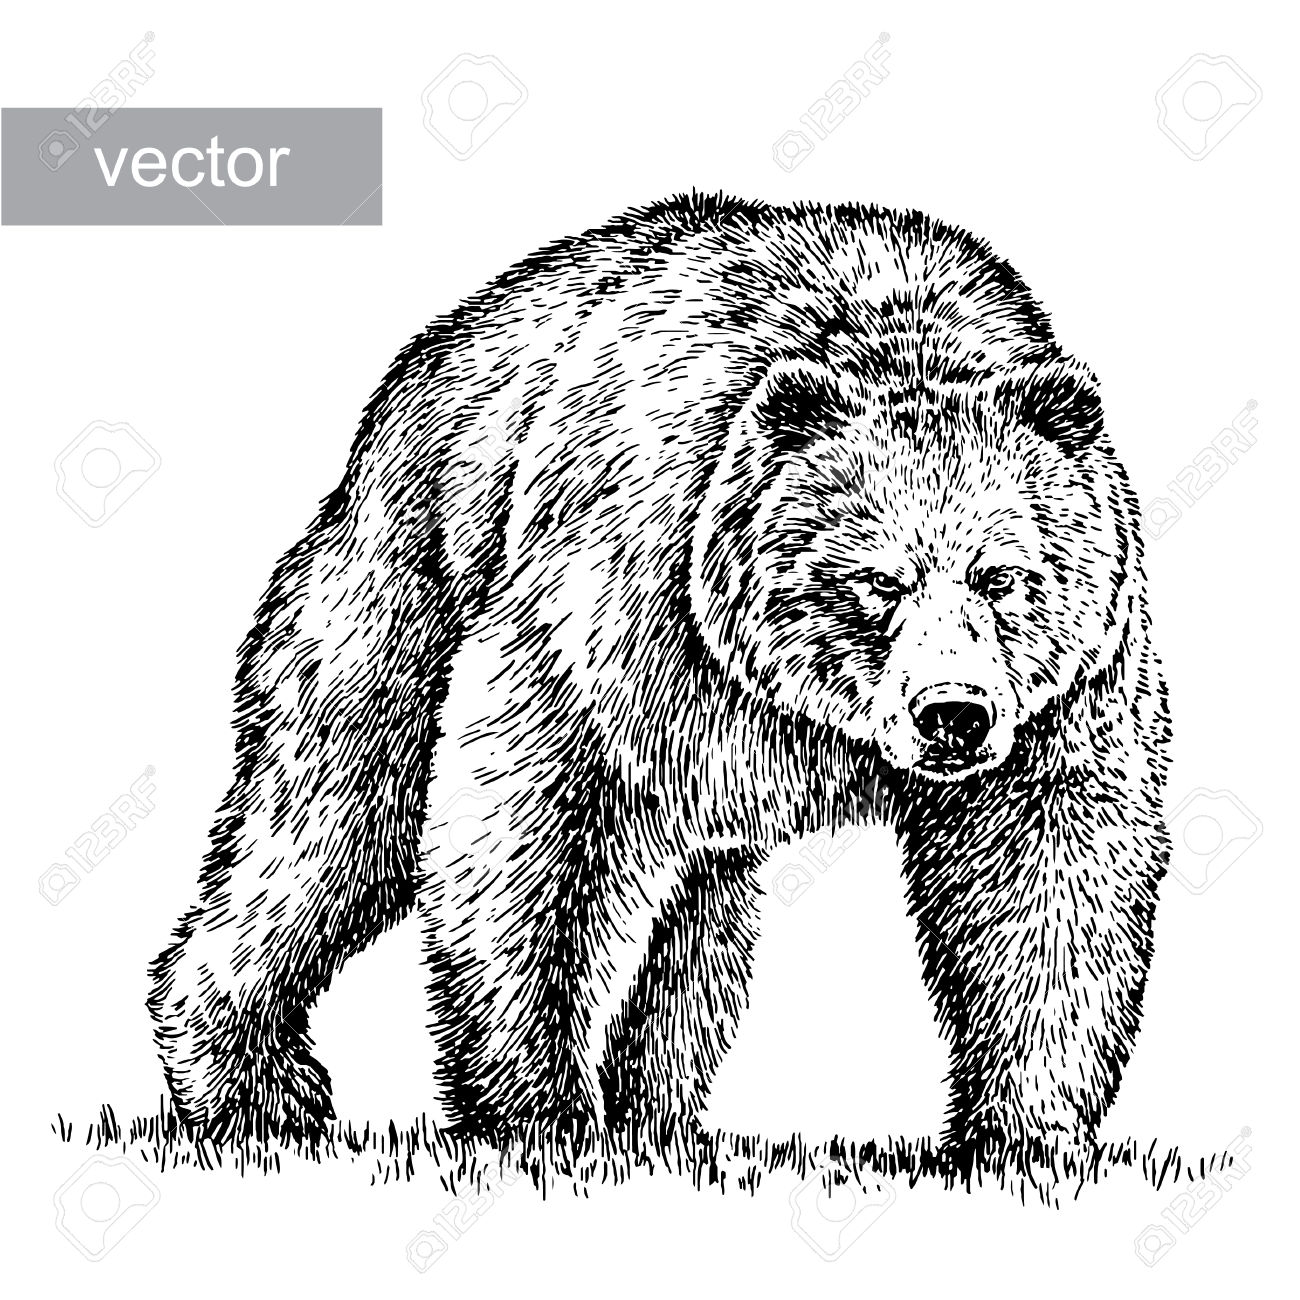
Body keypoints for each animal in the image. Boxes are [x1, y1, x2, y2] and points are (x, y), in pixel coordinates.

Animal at [149, 193, 1171, 1180]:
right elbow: (520, 832)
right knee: (335, 817)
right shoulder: (618, 597)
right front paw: (539, 1115)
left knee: (700, 924)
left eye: (1003, 575)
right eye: (879, 578)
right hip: (406, 581)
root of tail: (417, 370)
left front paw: (1025, 1138)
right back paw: (251, 1087)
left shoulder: (1070, 691)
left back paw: (663, 1120)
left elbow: (1050, 876)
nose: (952, 715)